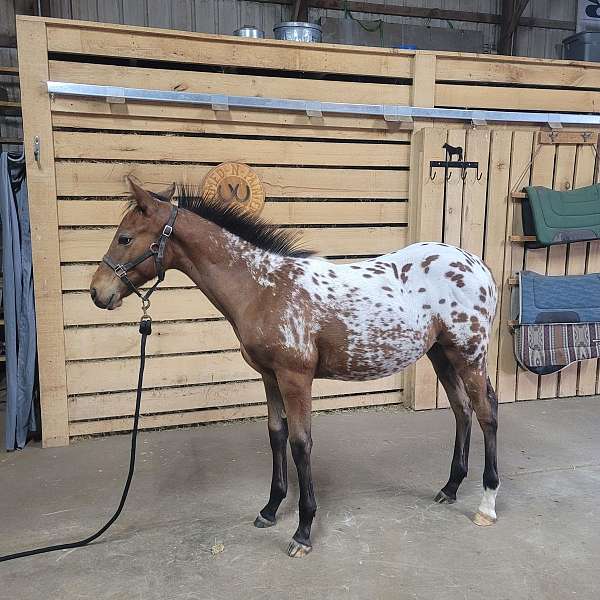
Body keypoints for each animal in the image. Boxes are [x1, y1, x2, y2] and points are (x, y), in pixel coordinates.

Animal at [91, 179, 500, 556]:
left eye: (125, 238)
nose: (98, 292)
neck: (263, 287)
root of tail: (478, 266)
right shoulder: (269, 376)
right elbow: (276, 434)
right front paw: (270, 509)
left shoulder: (295, 378)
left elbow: (301, 443)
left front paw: (303, 531)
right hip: (441, 355)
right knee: (462, 410)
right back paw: (450, 488)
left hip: (470, 356)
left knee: (485, 414)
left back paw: (487, 505)